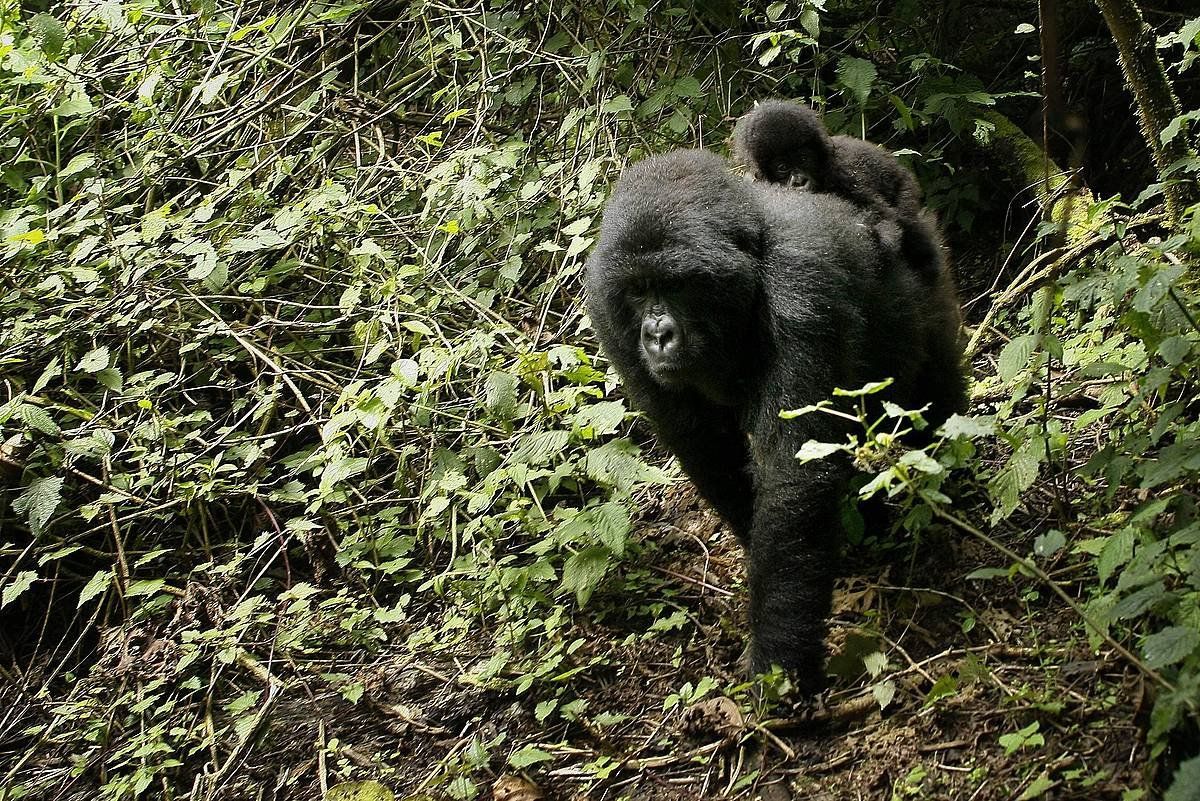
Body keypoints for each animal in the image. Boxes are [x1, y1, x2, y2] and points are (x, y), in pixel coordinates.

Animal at [580, 149, 964, 695]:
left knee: (928, 387)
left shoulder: (800, 283)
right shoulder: (610, 318)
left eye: (677, 286)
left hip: (921, 276)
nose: (657, 335)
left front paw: (779, 659)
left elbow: (793, 474)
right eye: (636, 292)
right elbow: (710, 454)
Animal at [729, 100, 945, 282]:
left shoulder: (841, 175)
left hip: (905, 185)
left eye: (803, 159)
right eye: (782, 167)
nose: (799, 181)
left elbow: (885, 218)